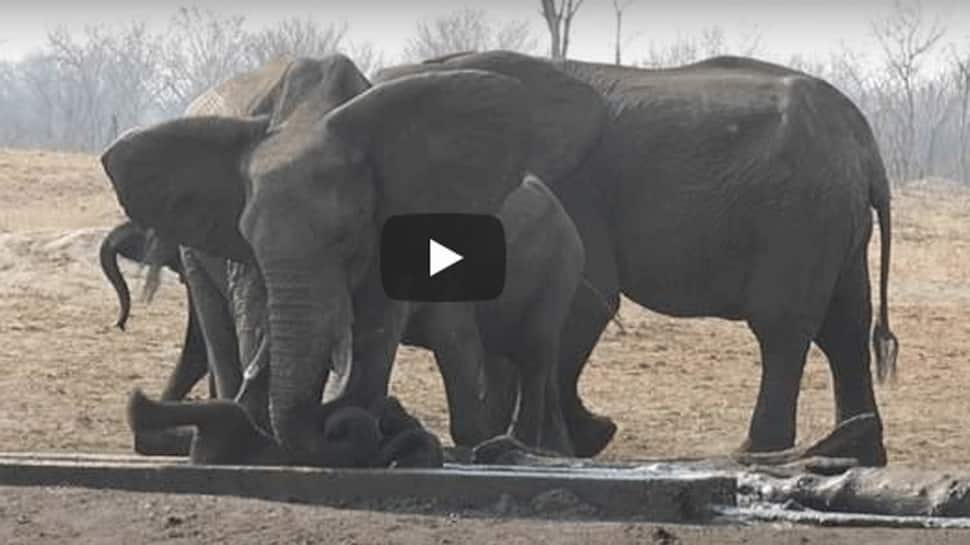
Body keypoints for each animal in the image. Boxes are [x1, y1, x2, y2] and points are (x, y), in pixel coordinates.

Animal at [104, 54, 544, 464]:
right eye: (248, 239)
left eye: (347, 237)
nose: (137, 399)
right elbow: (252, 317)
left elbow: (377, 328)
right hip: (193, 257)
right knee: (217, 330)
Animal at [374, 51, 896, 464]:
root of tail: (866, 145)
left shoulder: (578, 191)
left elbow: (587, 301)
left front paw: (562, 443)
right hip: (837, 224)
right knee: (845, 328)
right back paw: (856, 451)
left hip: (799, 217)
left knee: (783, 328)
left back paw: (757, 452)